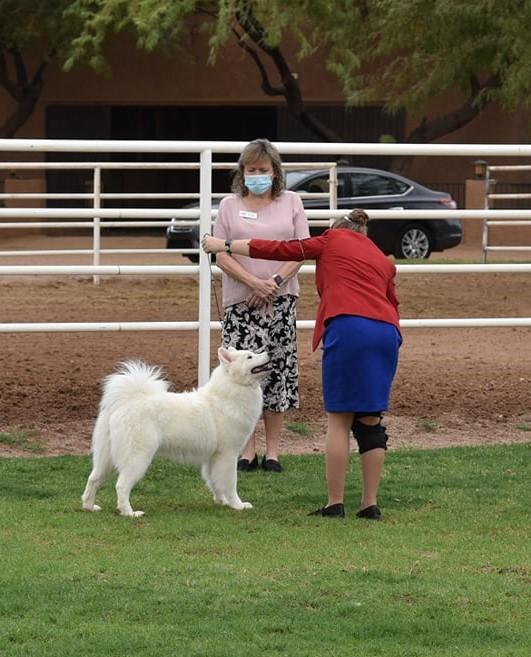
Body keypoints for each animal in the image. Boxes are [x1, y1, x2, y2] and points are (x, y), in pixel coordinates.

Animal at [81, 347, 270, 517]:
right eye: (249, 356)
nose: (269, 351)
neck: (231, 390)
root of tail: (126, 401)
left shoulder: (213, 457)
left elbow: (215, 482)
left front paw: (221, 501)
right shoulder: (228, 455)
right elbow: (231, 483)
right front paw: (238, 505)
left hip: (106, 458)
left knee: (93, 479)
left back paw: (89, 507)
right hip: (138, 457)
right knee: (121, 486)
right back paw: (130, 513)